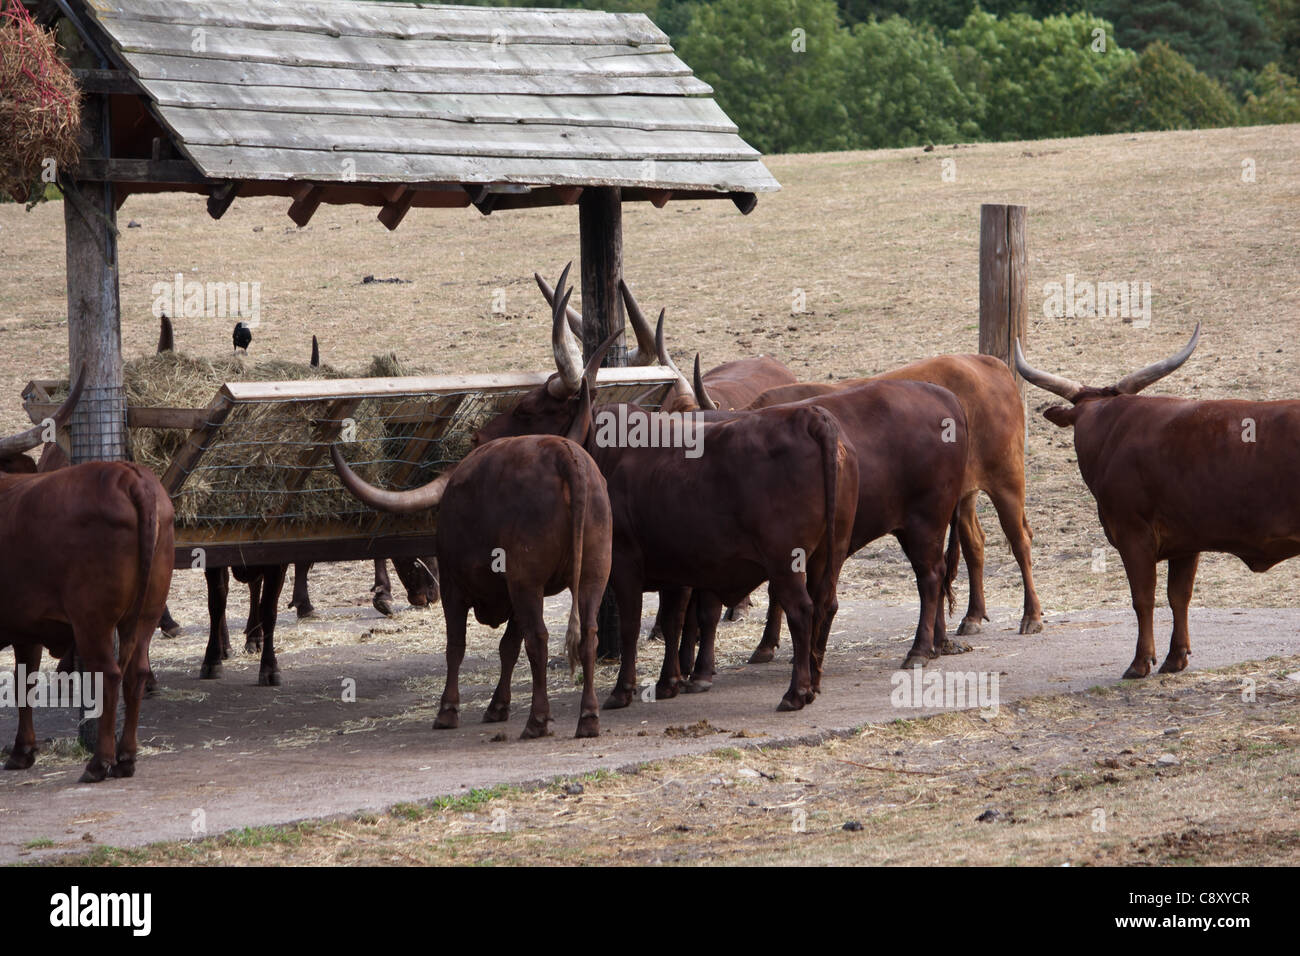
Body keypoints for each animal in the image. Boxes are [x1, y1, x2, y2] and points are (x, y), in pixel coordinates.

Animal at [0, 369, 174, 780]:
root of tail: (129, 476)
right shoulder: (26, 626)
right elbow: (25, 680)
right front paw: (23, 750)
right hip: (146, 612)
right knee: (136, 671)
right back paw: (126, 757)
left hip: (92, 619)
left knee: (109, 673)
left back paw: (100, 761)